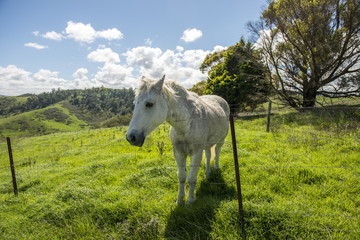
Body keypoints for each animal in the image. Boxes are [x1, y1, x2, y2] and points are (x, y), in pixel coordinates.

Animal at [126, 75, 231, 204]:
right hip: (206, 145)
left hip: (221, 139)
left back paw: (216, 168)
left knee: (217, 151)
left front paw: (190, 200)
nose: (131, 137)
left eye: (149, 104)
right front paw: (180, 200)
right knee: (208, 155)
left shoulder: (196, 153)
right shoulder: (178, 153)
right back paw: (207, 174)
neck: (186, 124)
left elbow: (191, 178)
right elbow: (181, 177)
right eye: (135, 103)